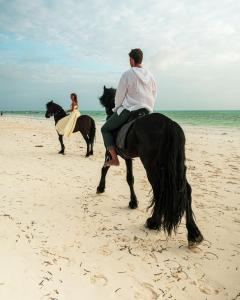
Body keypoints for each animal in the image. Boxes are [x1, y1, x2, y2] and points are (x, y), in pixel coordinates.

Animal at [96, 85, 203, 247]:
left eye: (104, 98)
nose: (109, 111)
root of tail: (169, 123)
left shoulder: (110, 152)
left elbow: (105, 169)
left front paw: (100, 188)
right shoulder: (128, 157)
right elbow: (130, 178)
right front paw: (133, 202)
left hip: (151, 165)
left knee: (159, 188)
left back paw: (154, 222)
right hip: (176, 166)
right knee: (185, 189)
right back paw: (193, 233)